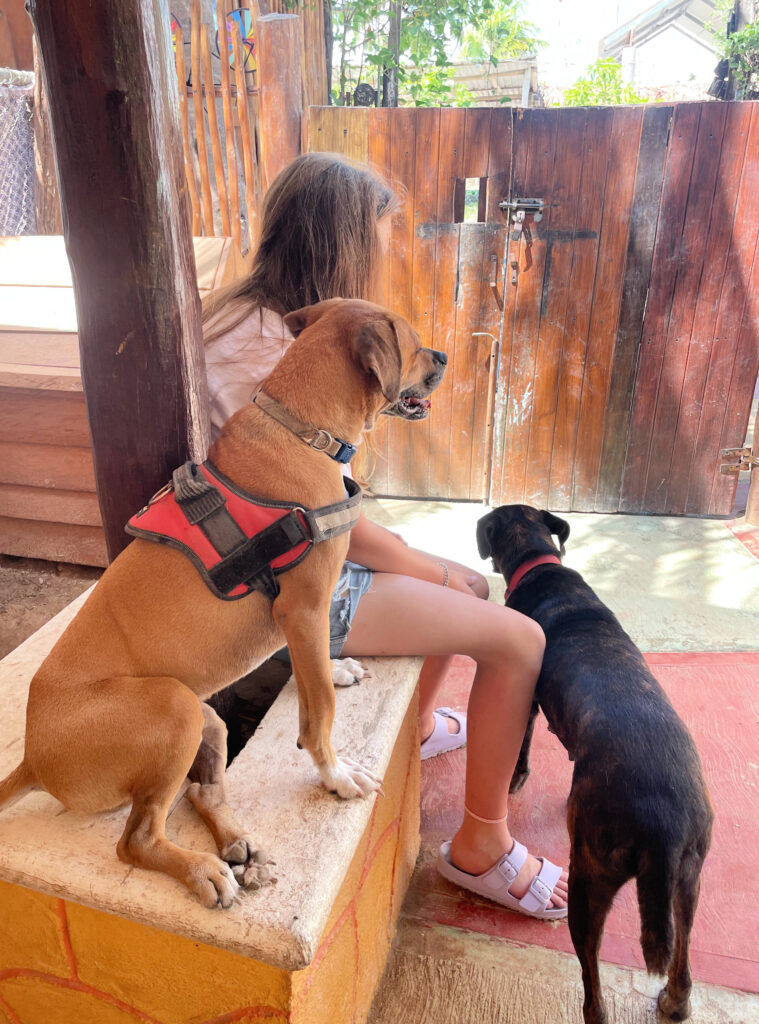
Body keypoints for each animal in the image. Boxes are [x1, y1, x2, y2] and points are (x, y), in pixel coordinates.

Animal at [0, 298, 446, 909]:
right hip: (175, 707)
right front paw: (335, 775)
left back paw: (239, 849)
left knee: (200, 795)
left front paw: (336, 670)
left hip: (205, 719)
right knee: (136, 840)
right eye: (413, 341)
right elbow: (320, 710)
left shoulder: (297, 619)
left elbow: (313, 673)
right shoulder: (304, 609)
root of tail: (33, 758)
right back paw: (203, 871)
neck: (299, 429)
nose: (443, 357)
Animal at [476, 505, 713, 1024]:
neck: (538, 560)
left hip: (588, 881)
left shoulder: (527, 700)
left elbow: (521, 748)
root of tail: (663, 825)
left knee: (595, 994)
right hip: (688, 880)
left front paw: (515, 777)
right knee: (684, 962)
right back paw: (674, 1001)